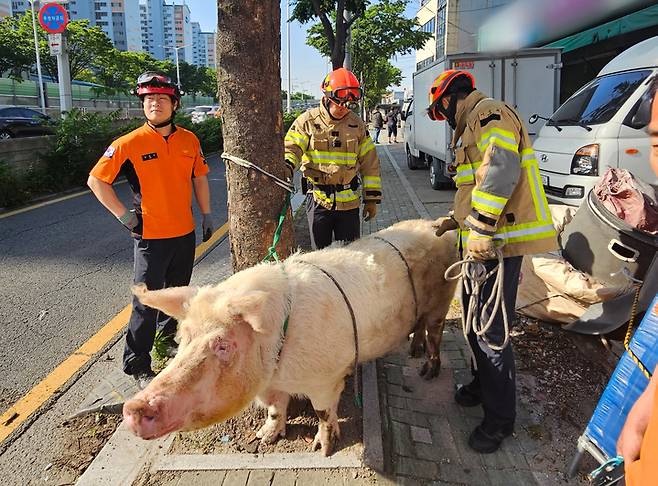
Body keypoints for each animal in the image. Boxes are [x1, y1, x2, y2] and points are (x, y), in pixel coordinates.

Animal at [121, 220, 456, 456]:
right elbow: (274, 408)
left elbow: (323, 412)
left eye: (223, 345)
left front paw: (322, 449)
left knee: (436, 333)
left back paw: (427, 371)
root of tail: (435, 226)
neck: (278, 364)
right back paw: (412, 351)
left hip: (442, 298)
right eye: (183, 339)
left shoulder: (326, 379)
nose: (134, 408)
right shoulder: (270, 384)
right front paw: (265, 438)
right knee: (420, 327)